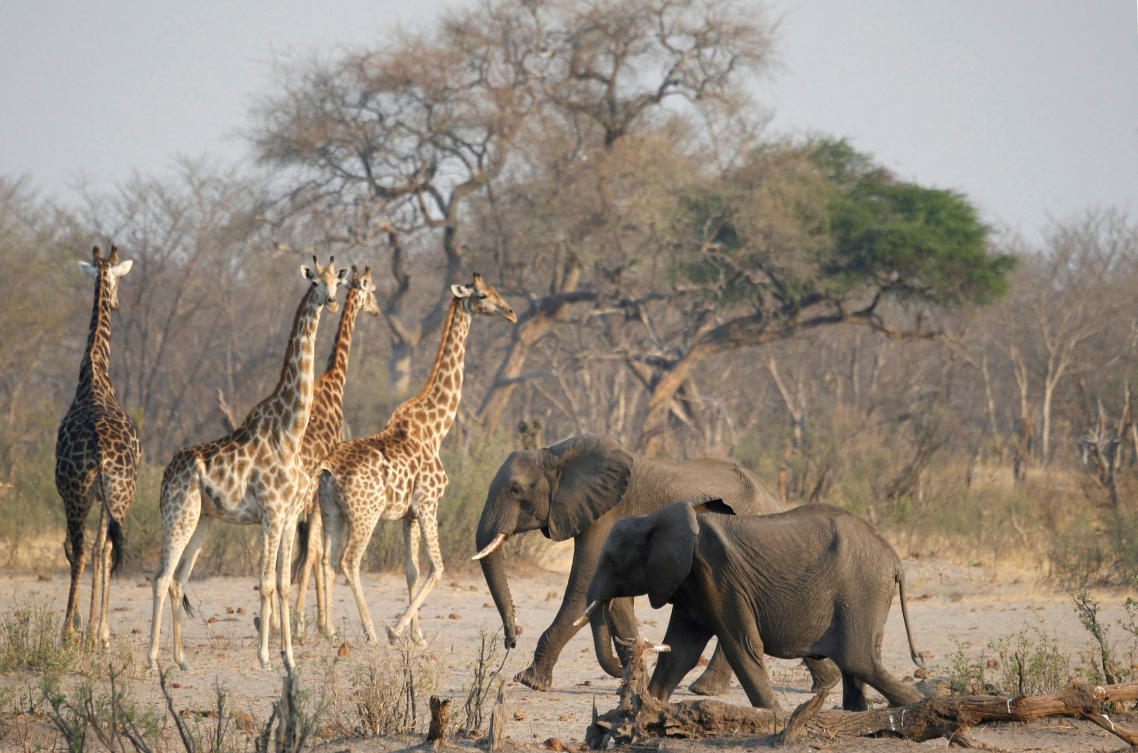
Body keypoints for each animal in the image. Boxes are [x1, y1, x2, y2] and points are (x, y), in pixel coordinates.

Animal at [147, 257, 346, 671]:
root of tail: (166, 475)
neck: (289, 431)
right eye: (315, 282)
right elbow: (266, 582)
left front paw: (289, 657)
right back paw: (153, 660)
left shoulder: (287, 516)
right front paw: (266, 656)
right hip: (178, 514)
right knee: (159, 577)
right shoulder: (270, 514)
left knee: (178, 579)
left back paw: (182, 660)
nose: (332, 301)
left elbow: (284, 583)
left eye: (338, 282)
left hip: (202, 521)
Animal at [317, 274, 516, 643]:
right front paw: (396, 630)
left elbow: (412, 569)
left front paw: (418, 636)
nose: (510, 312)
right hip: (365, 515)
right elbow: (437, 567)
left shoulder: (408, 514)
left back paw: (331, 632)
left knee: (327, 559)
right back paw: (370, 632)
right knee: (351, 561)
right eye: (483, 295)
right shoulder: (428, 503)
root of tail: (328, 469)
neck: (436, 429)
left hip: (330, 512)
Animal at [472, 433, 786, 692]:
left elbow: (582, 589)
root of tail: (776, 500)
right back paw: (705, 689)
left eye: (515, 490)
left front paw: (530, 681)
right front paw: (636, 681)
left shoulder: (605, 513)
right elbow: (616, 600)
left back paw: (703, 690)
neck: (556, 455)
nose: (511, 641)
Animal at [582, 498, 925, 713]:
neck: (657, 518)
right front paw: (645, 710)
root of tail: (895, 559)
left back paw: (919, 703)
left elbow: (743, 647)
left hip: (861, 589)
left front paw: (775, 718)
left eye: (611, 560)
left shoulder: (718, 576)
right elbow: (679, 652)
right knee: (859, 663)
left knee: (858, 660)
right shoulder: (692, 584)